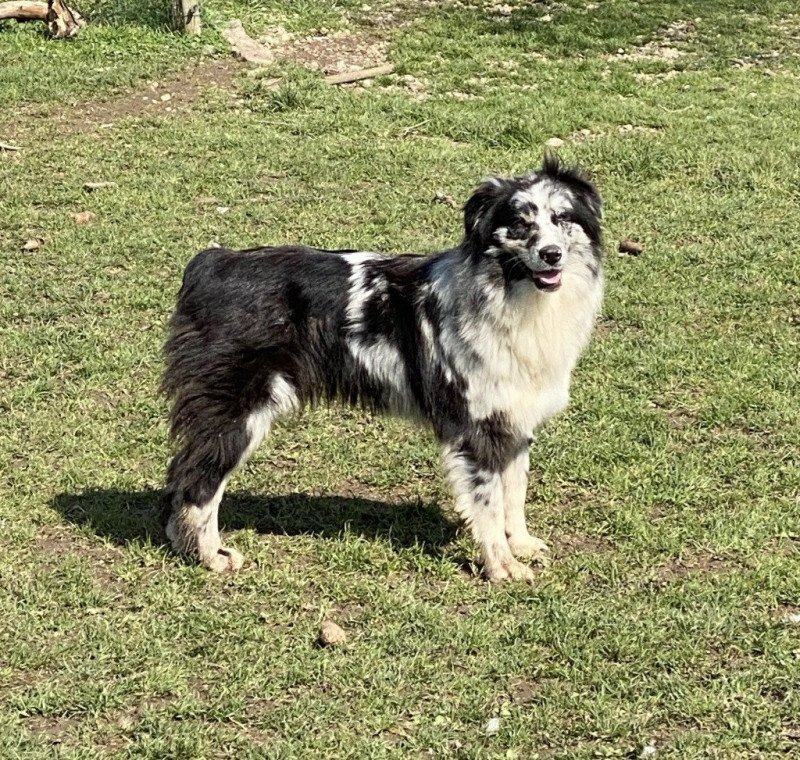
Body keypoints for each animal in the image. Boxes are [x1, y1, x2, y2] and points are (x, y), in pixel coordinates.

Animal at [162, 154, 600, 580]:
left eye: (562, 217)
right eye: (521, 223)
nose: (551, 255)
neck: (507, 293)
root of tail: (212, 263)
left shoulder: (514, 420)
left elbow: (514, 493)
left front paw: (520, 544)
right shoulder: (477, 429)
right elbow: (489, 504)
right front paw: (501, 566)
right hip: (237, 414)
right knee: (198, 484)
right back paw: (209, 556)